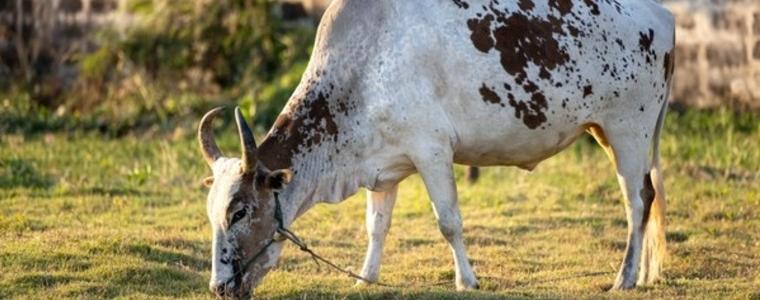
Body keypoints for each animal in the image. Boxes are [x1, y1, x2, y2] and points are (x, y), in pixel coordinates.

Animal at [199, 0, 672, 296]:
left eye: (239, 211)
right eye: (212, 212)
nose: (219, 287)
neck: (361, 70)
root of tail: (661, 14)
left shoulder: (432, 151)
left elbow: (449, 222)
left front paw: (467, 281)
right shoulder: (381, 169)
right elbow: (376, 227)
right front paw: (365, 279)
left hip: (628, 130)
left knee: (637, 201)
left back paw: (625, 278)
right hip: (606, 132)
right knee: (648, 196)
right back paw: (645, 274)